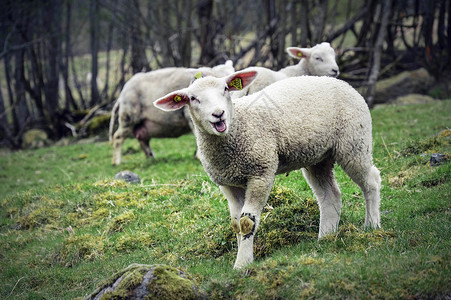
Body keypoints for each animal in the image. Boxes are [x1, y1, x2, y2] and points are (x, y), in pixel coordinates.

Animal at [154, 71, 382, 270]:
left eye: (226, 89)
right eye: (193, 98)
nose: (218, 114)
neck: (237, 128)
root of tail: (342, 83)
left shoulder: (260, 172)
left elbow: (246, 222)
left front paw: (242, 264)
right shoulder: (228, 183)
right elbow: (235, 224)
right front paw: (241, 256)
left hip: (354, 141)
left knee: (371, 181)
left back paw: (371, 225)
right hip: (318, 157)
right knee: (330, 195)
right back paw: (326, 237)